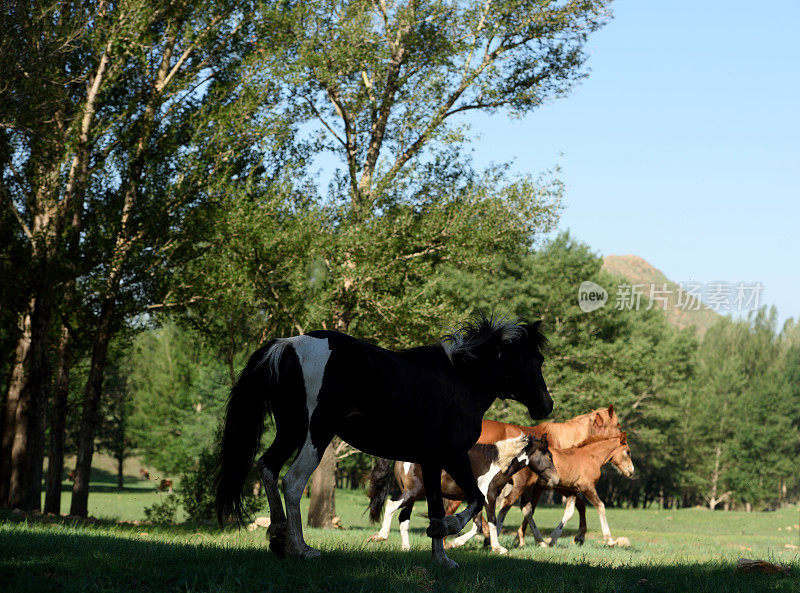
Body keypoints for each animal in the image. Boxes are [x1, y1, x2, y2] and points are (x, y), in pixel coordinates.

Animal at [212, 316, 552, 568]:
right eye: (537, 360)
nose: (546, 405)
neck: (459, 381)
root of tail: (287, 345)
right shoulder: (454, 456)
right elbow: (474, 501)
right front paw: (448, 530)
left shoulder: (431, 462)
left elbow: (436, 505)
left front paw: (440, 556)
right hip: (315, 435)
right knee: (293, 482)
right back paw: (302, 549)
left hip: (291, 431)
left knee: (268, 468)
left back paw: (278, 536)